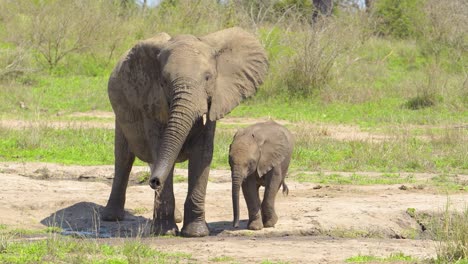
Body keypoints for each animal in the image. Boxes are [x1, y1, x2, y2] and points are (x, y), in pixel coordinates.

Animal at [101, 27, 270, 238]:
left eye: (208, 78)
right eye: (164, 81)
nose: (154, 181)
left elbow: (203, 154)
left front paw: (196, 233)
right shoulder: (151, 100)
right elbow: (161, 148)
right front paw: (165, 232)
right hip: (121, 114)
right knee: (124, 158)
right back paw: (111, 217)